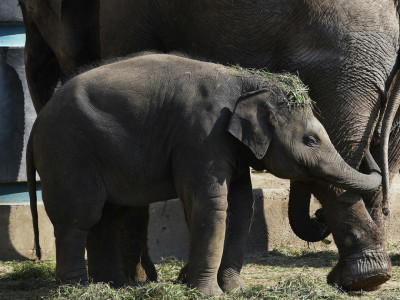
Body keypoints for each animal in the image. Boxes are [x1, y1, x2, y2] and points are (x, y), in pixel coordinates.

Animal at [20, 0, 400, 292]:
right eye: (310, 140)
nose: (318, 220)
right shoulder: (202, 138)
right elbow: (216, 201)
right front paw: (197, 288)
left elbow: (237, 204)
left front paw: (219, 287)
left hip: (345, 64)